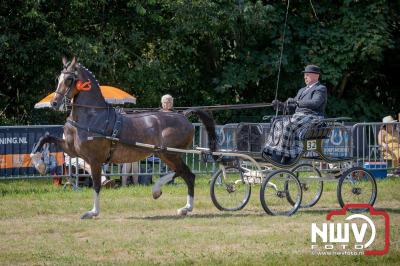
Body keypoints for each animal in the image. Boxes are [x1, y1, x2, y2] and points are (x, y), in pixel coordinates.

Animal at [31, 57, 217, 219]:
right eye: (59, 78)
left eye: (69, 79)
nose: (54, 103)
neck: (91, 116)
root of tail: (183, 116)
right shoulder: (71, 150)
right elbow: (45, 138)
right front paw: (39, 164)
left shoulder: (95, 159)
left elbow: (97, 184)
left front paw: (93, 212)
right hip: (166, 154)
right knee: (182, 173)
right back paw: (173, 201)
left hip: (170, 153)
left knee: (187, 175)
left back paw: (179, 203)